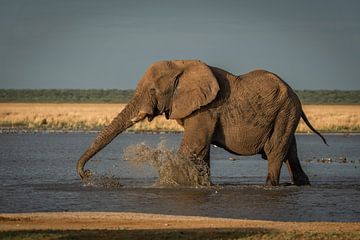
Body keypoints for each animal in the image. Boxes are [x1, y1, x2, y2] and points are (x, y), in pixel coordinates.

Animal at [77, 59, 328, 186]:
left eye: (152, 90)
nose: (87, 174)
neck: (182, 65)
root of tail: (295, 96)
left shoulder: (206, 109)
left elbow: (193, 147)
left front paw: (168, 185)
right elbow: (201, 150)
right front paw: (205, 186)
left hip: (287, 110)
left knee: (275, 150)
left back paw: (269, 186)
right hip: (286, 112)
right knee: (290, 151)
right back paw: (302, 185)